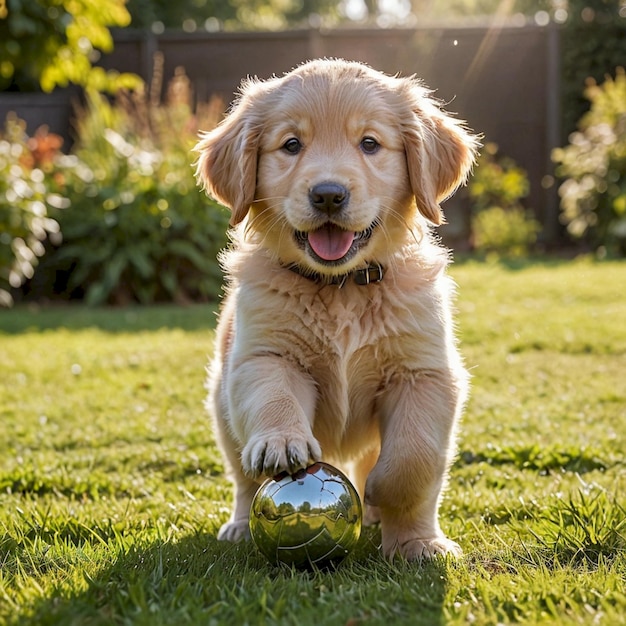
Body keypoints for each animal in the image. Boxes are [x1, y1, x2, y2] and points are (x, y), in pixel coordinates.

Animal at [195, 57, 478, 556]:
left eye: (370, 143)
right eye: (291, 145)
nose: (328, 194)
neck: (342, 287)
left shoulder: (425, 373)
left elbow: (415, 458)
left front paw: (413, 538)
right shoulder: (263, 355)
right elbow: (273, 397)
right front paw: (282, 443)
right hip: (221, 406)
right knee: (243, 478)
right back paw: (241, 525)